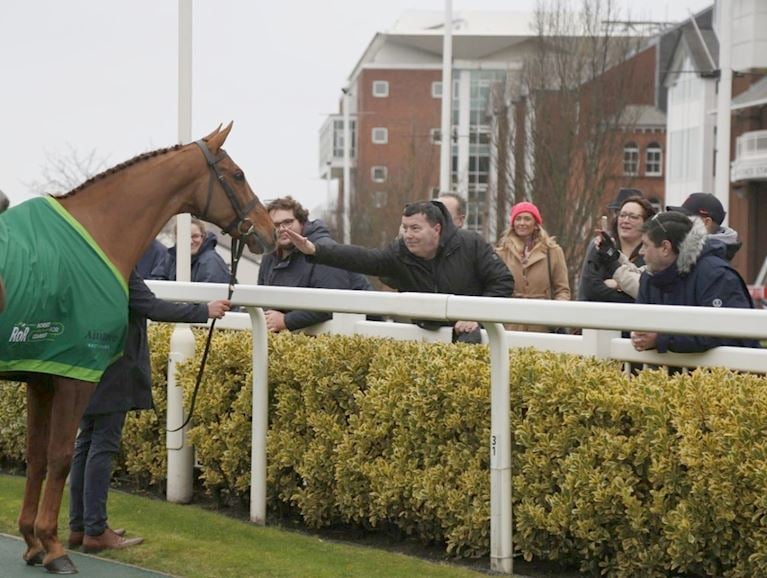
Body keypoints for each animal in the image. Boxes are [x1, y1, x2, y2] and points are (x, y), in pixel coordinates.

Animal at [0, 122, 274, 572]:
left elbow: (37, 457)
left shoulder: (41, 377)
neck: (96, 233)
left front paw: (32, 542)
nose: (269, 232)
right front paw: (54, 547)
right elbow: (61, 458)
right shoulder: (75, 374)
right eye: (237, 174)